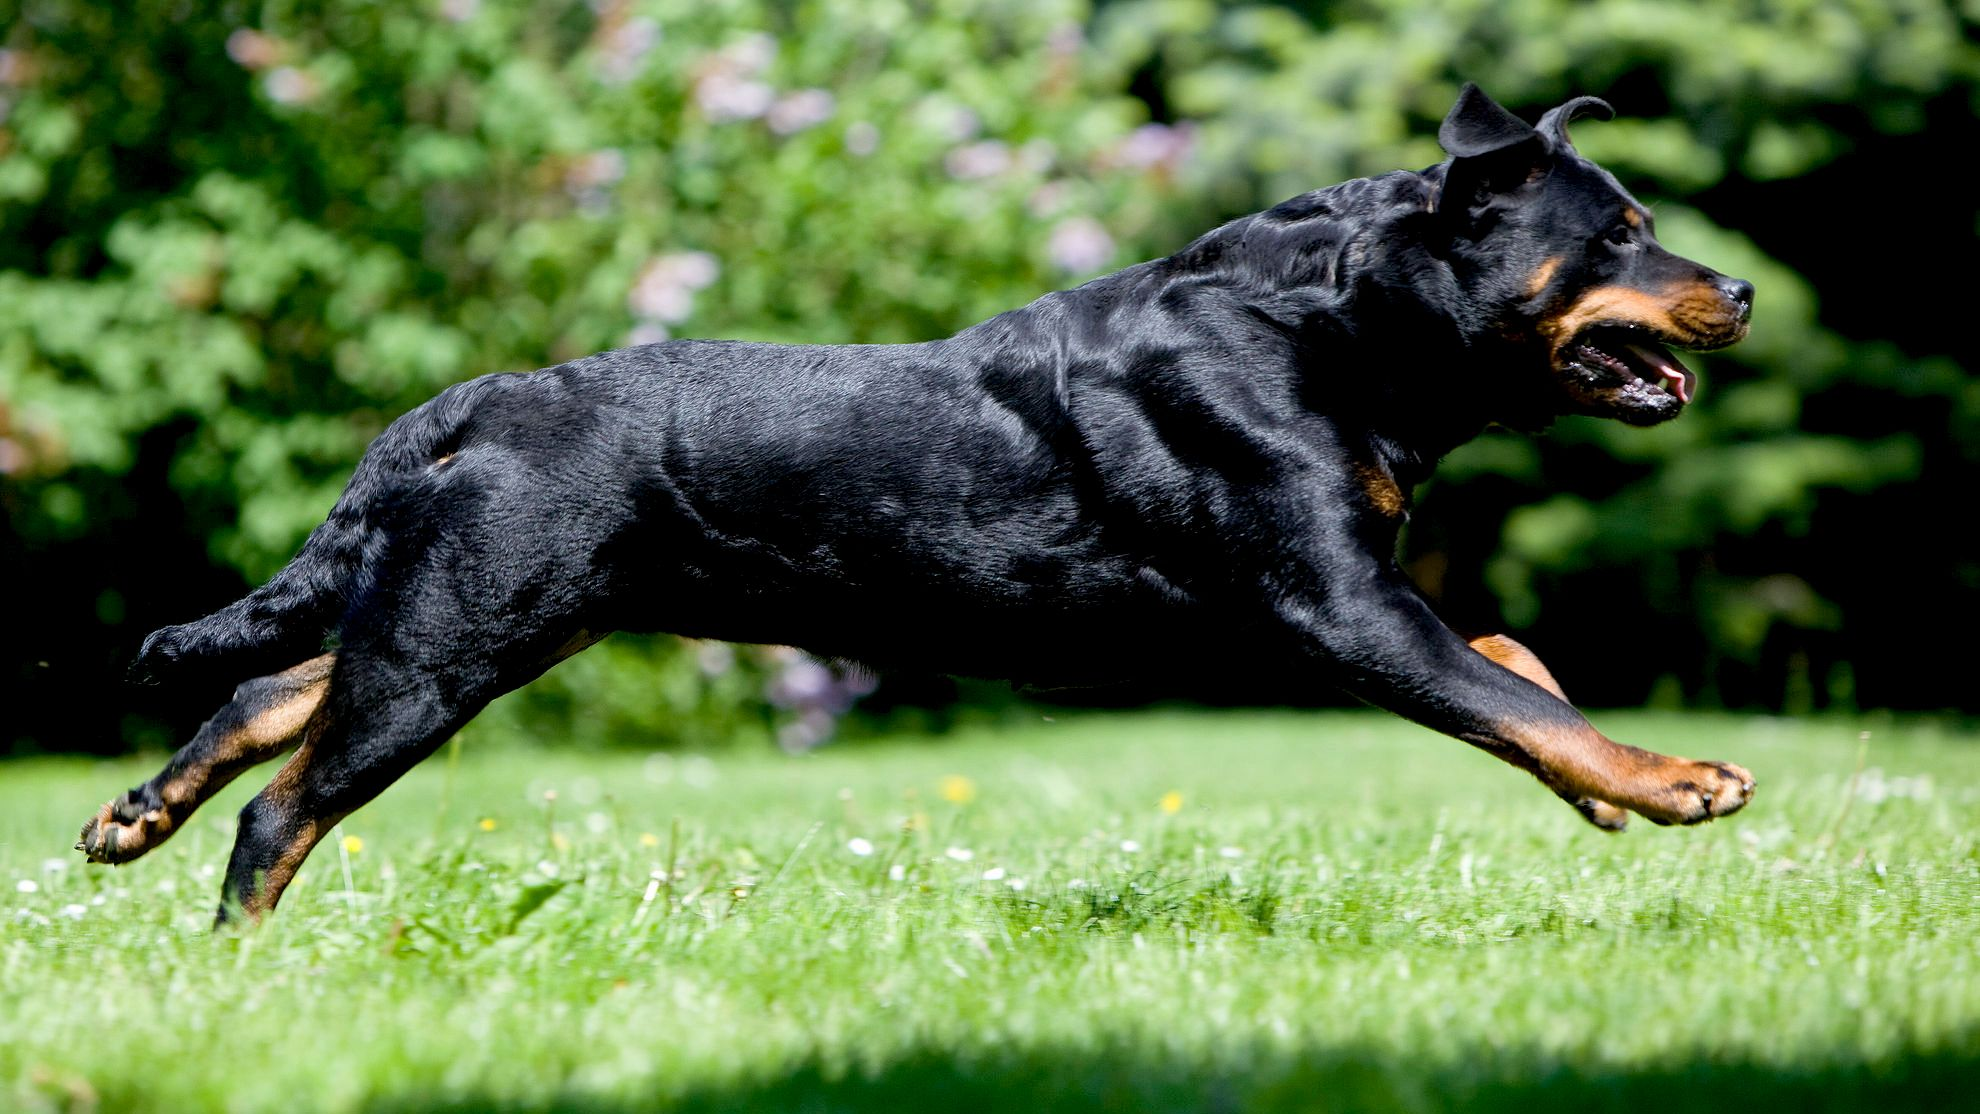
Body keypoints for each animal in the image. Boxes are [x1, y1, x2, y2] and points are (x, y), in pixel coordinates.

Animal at [81, 87, 1750, 926]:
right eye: (1622, 229)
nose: (1734, 286)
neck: (1336, 324)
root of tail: (466, 403)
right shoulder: (1333, 606)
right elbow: (1498, 690)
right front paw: (1675, 781)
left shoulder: (1334, 603)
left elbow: (1519, 667)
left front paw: (1611, 787)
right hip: (464, 634)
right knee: (287, 804)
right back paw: (241, 957)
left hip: (482, 609)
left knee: (285, 681)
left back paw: (132, 811)